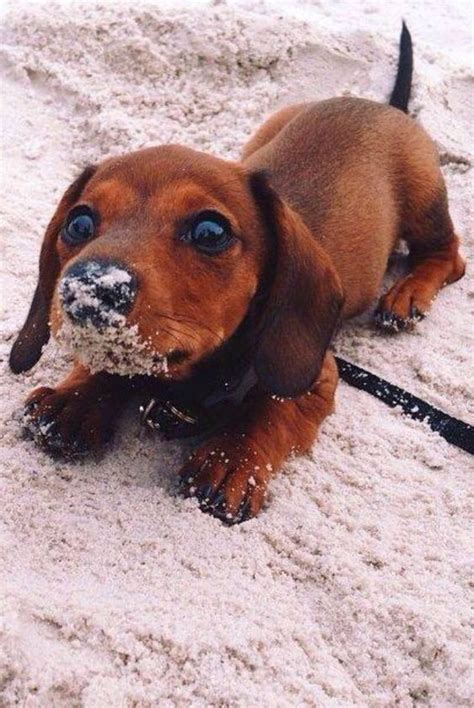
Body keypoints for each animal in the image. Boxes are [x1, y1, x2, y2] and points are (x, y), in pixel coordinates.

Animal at [10, 24, 462, 524]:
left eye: (211, 231)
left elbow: (268, 407)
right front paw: (75, 400)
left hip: (423, 201)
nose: (87, 288)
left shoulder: (317, 375)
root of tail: (385, 107)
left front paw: (232, 460)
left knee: (451, 254)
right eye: (78, 223)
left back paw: (408, 294)